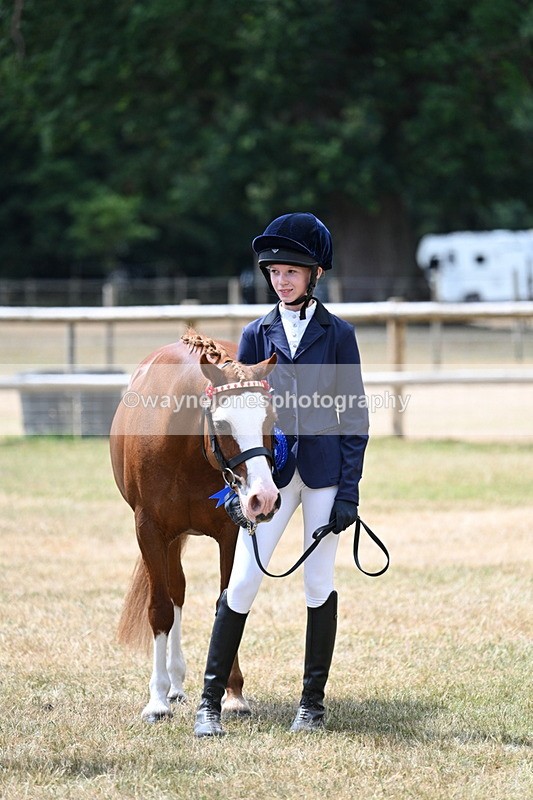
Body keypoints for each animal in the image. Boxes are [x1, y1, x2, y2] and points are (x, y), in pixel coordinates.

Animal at [109, 330, 280, 723]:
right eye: (222, 424)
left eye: (270, 419)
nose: (263, 498)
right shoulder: (150, 531)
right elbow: (159, 608)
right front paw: (156, 700)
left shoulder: (231, 532)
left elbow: (227, 604)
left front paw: (232, 693)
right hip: (170, 539)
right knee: (174, 594)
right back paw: (171, 685)